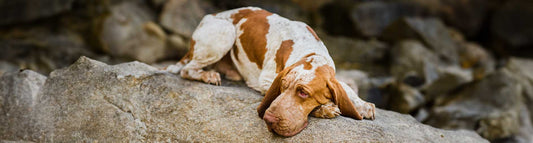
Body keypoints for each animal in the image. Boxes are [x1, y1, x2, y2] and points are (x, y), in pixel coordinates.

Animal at [165, 6, 374, 137]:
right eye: (282, 87)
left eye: (303, 92)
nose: (269, 119)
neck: (310, 51)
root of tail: (209, 17)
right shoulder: (265, 80)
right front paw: (325, 108)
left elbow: (346, 88)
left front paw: (362, 104)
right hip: (225, 33)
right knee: (187, 70)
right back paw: (207, 75)